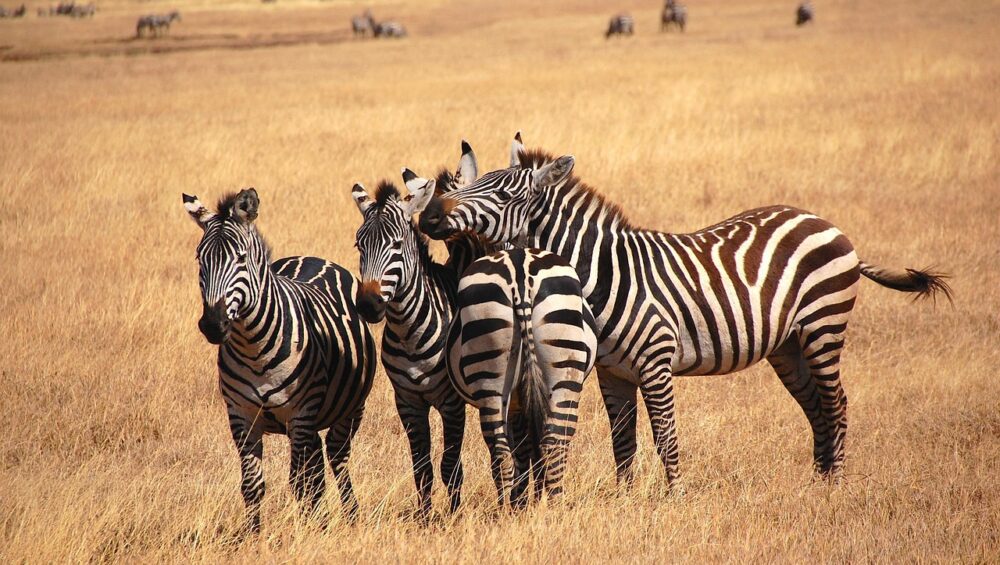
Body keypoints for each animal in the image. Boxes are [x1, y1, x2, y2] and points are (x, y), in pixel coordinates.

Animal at [185, 187, 378, 532]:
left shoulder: (300, 414)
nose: (213, 324)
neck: (254, 347)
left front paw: (306, 532)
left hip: (349, 408)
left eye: (241, 258)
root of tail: (312, 257)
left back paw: (349, 515)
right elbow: (252, 484)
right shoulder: (240, 416)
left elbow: (298, 482)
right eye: (199, 258)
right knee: (316, 466)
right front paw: (254, 534)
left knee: (336, 457)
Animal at [416, 135, 952, 490]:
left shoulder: (655, 362)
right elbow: (624, 442)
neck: (602, 272)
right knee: (815, 405)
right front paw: (625, 501)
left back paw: (836, 482)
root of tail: (823, 221)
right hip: (788, 345)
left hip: (824, 327)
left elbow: (665, 438)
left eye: (504, 194)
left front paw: (674, 498)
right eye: (478, 182)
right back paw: (818, 482)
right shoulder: (612, 371)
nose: (429, 216)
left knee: (836, 401)